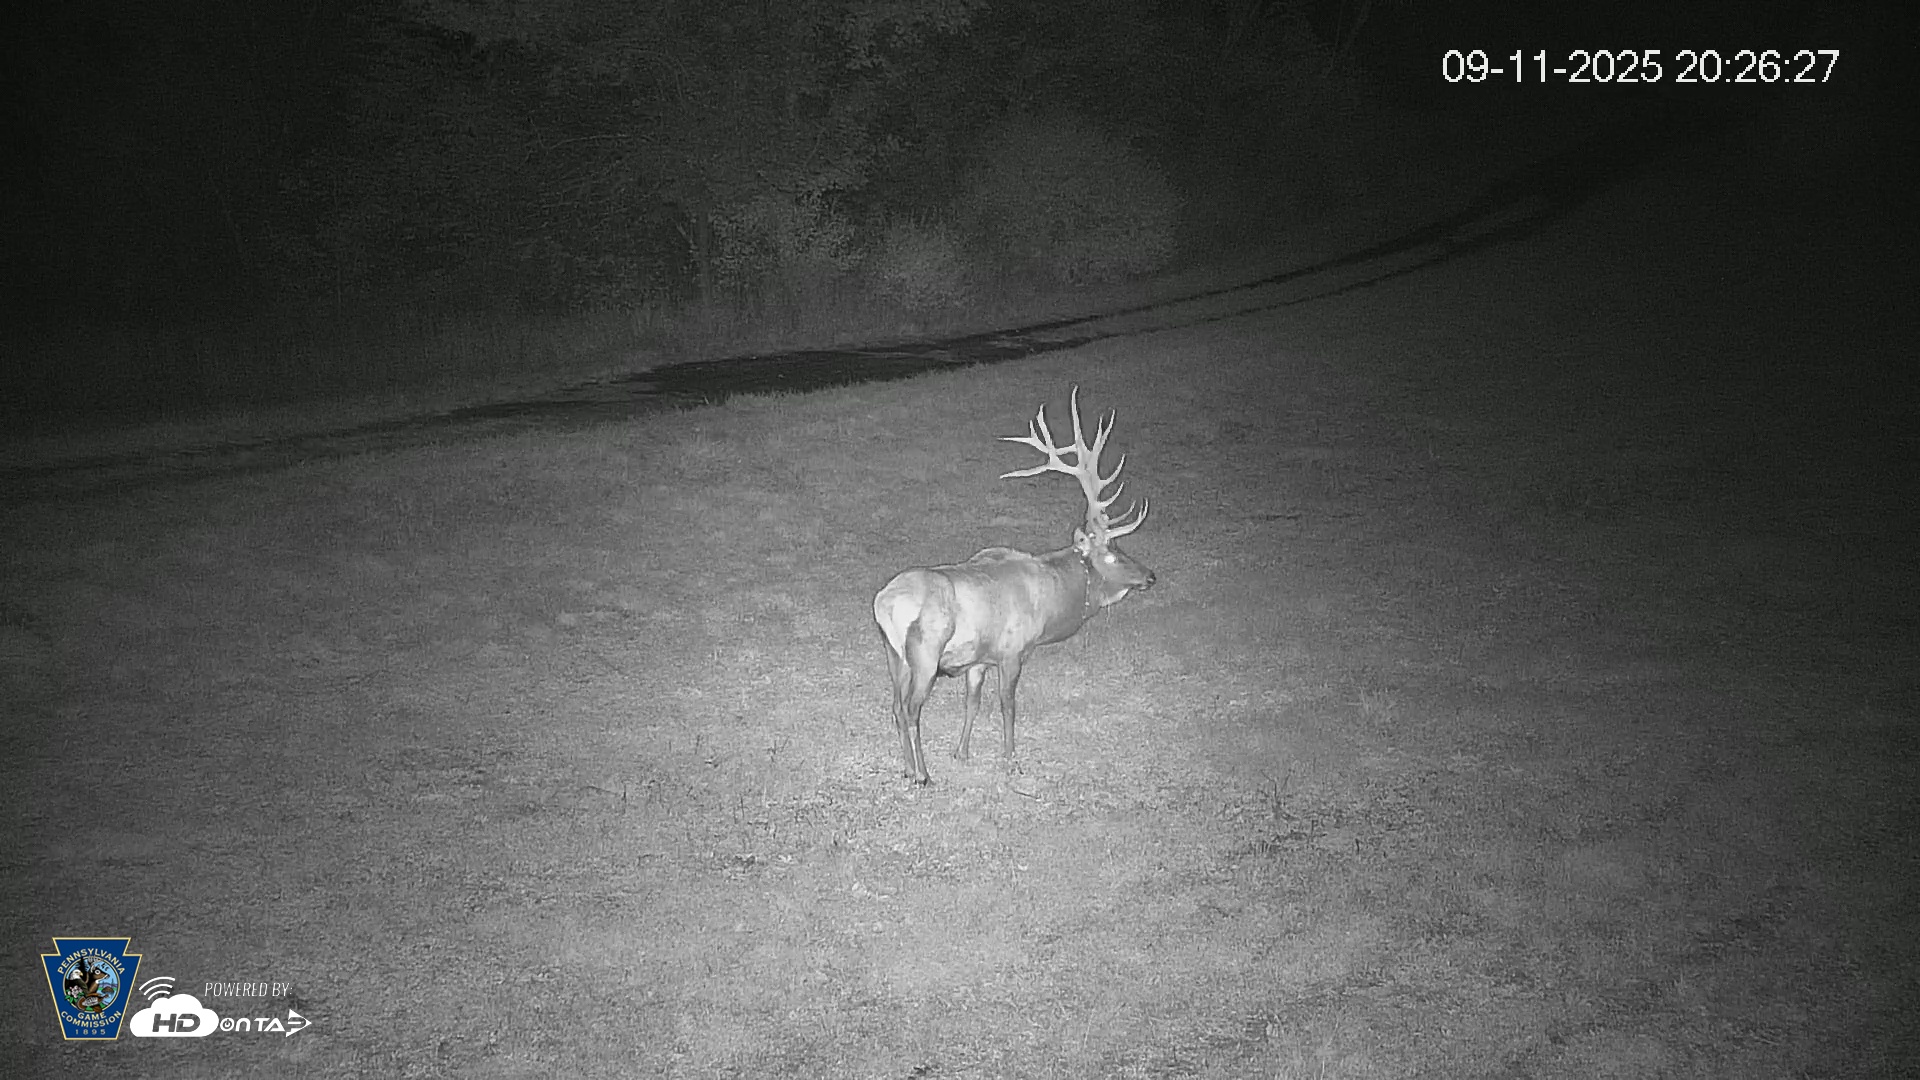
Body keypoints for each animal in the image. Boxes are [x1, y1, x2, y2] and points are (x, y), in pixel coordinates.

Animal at [871, 388, 1156, 785]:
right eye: (1112, 556)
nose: (1150, 576)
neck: (1052, 606)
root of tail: (884, 602)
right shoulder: (1012, 651)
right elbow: (1008, 706)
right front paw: (1011, 760)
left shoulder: (979, 659)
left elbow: (973, 702)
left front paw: (962, 752)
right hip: (924, 654)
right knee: (912, 710)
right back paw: (922, 775)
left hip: (893, 655)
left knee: (896, 707)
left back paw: (908, 768)